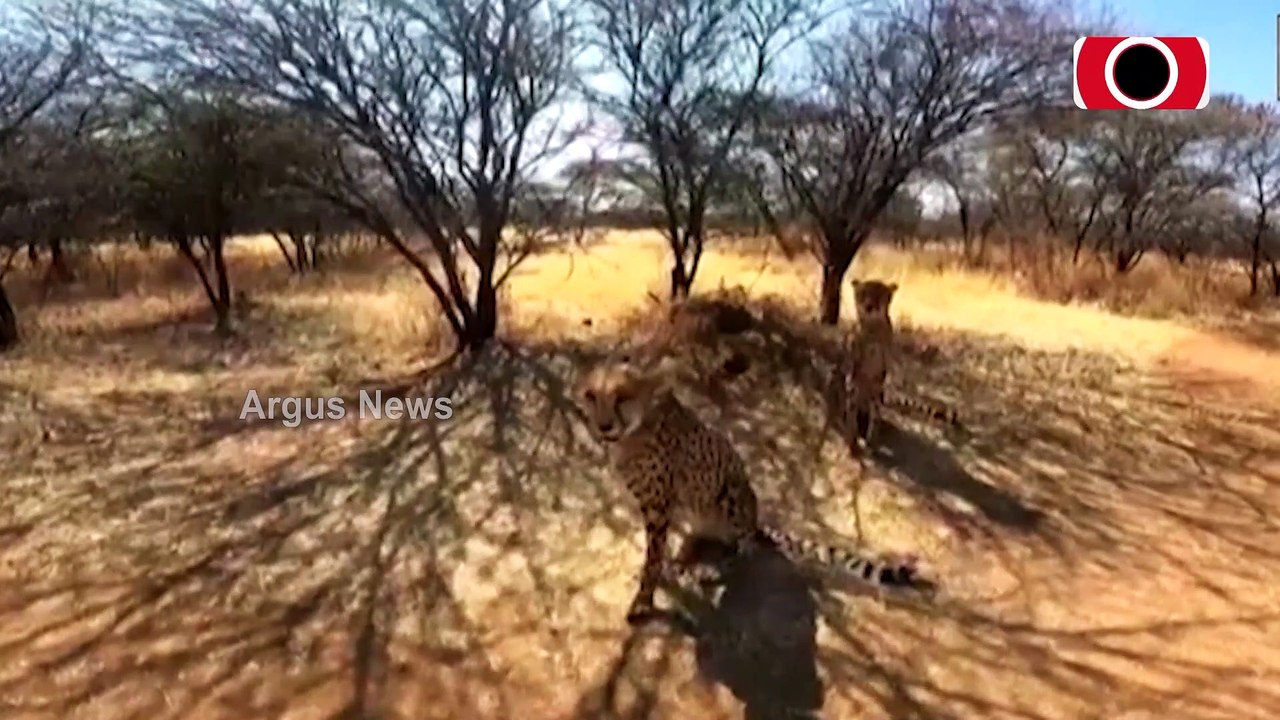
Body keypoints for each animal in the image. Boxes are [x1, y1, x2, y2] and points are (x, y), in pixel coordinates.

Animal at [575, 355, 926, 625]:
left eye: (622, 397)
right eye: (591, 395)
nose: (603, 426)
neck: (632, 431)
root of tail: (756, 521)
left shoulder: (659, 507)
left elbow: (653, 557)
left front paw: (643, 600)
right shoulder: (656, 507)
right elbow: (654, 552)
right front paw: (659, 571)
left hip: (733, 491)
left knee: (746, 547)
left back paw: (714, 569)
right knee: (704, 536)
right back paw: (686, 555)